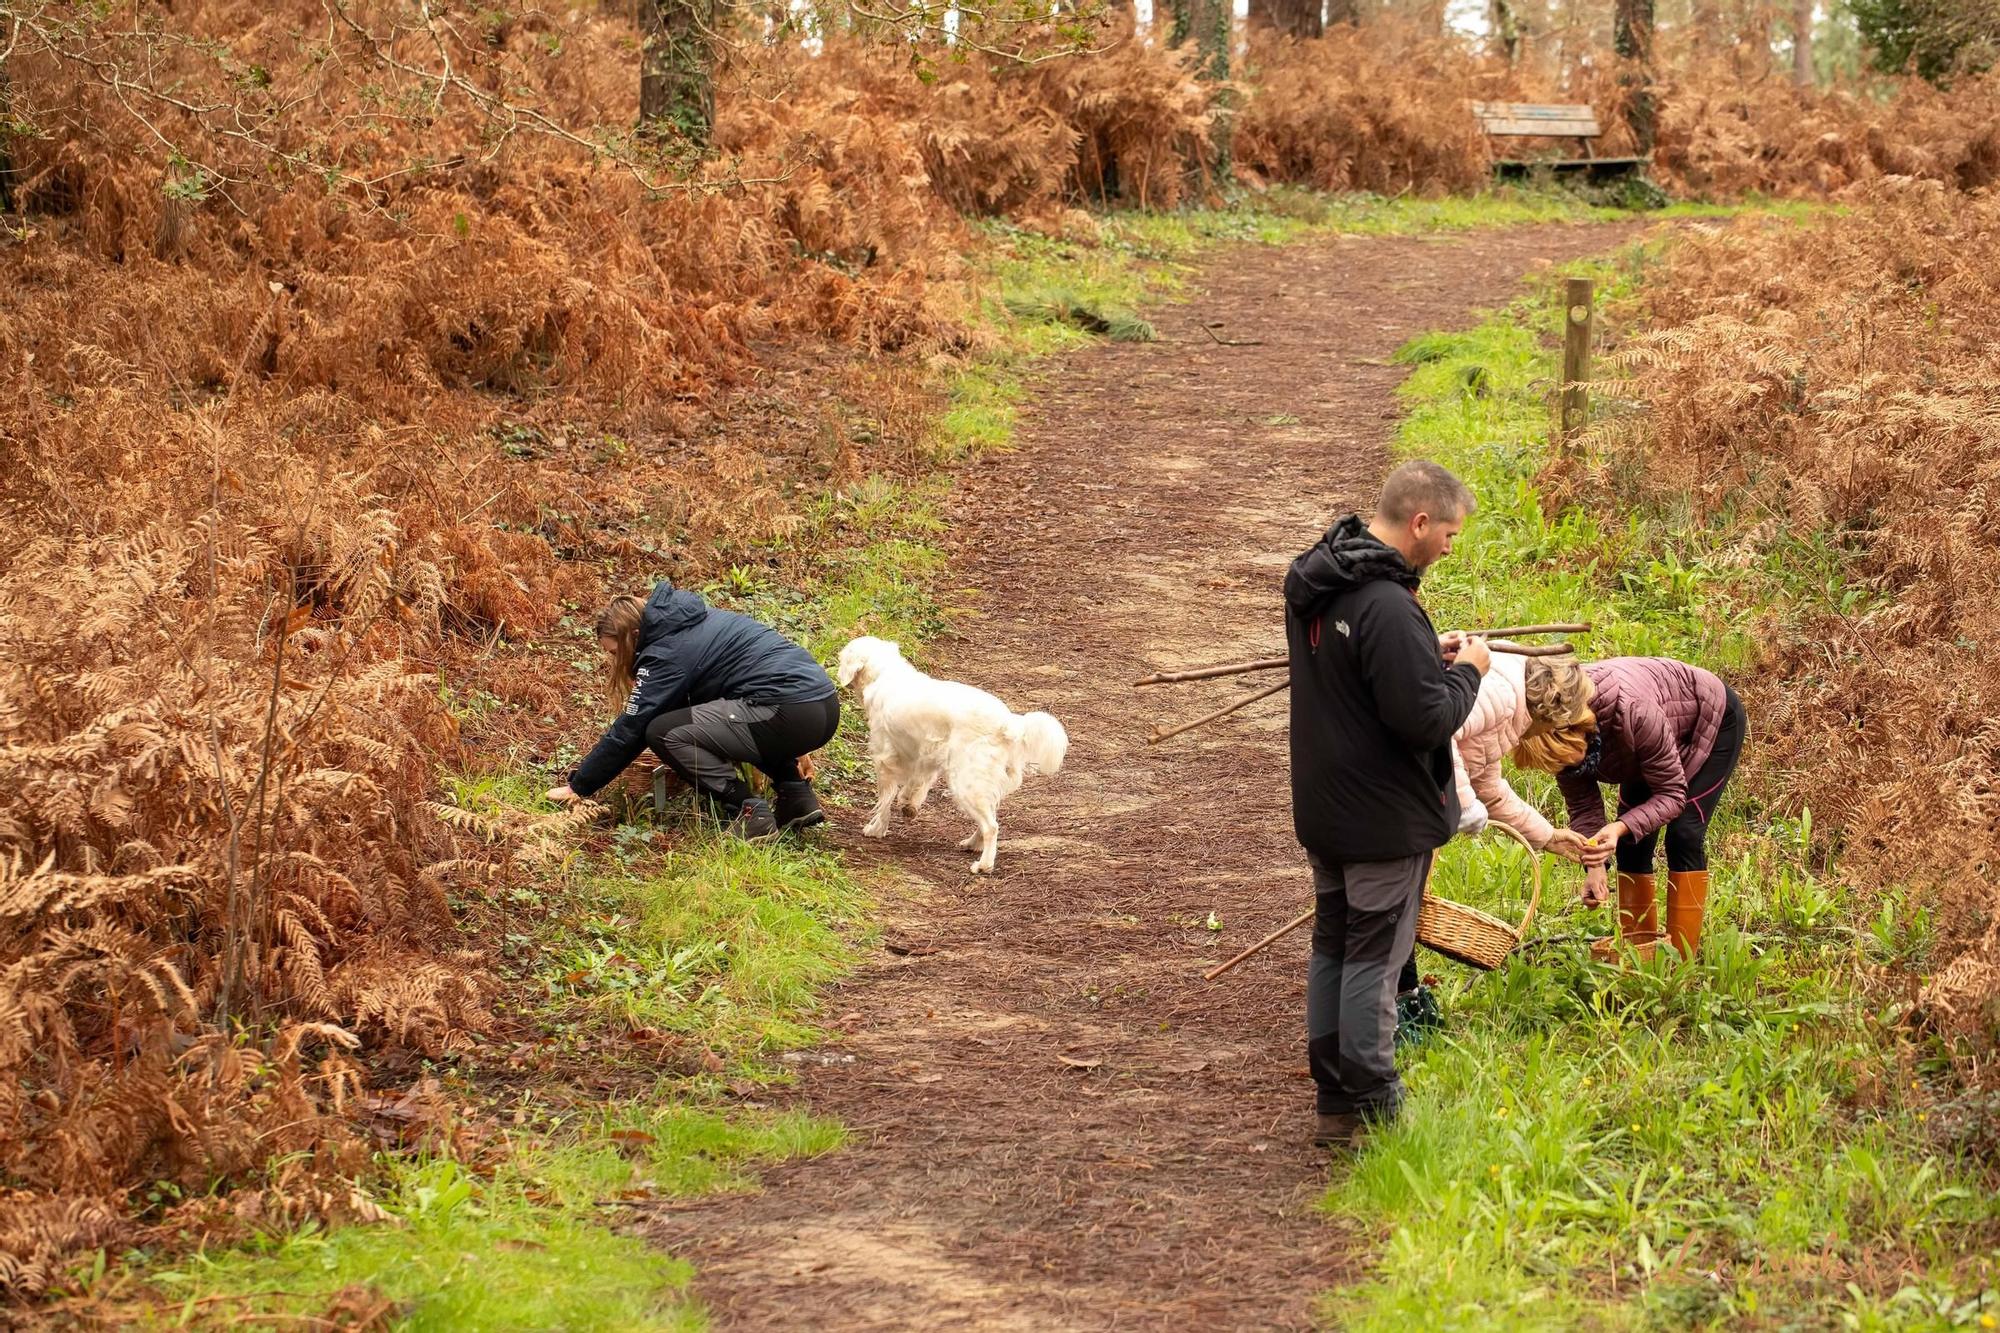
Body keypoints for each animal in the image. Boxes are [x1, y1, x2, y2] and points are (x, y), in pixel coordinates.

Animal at [836, 632, 1072, 872]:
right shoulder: (925, 756)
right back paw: (972, 844)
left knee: (991, 826)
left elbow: (885, 800)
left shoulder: (885, 759)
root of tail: (1008, 722)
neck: (885, 673)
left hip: (966, 783)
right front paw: (908, 805)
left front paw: (876, 828)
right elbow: (914, 786)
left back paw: (983, 865)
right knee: (990, 818)